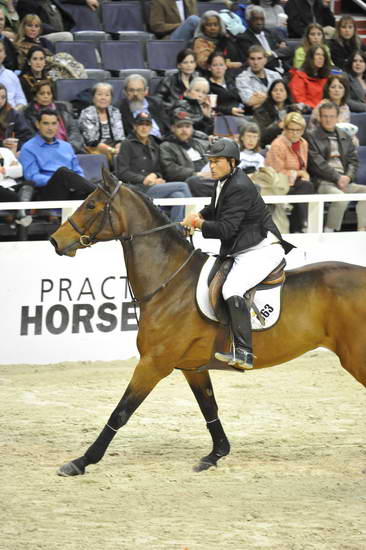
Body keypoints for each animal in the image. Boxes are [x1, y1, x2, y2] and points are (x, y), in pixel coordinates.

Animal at [50, 171, 366, 478]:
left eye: (91, 205)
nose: (54, 240)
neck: (171, 282)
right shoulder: (192, 367)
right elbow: (209, 408)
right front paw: (216, 455)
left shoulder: (153, 363)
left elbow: (121, 411)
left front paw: (81, 461)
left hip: (356, 358)